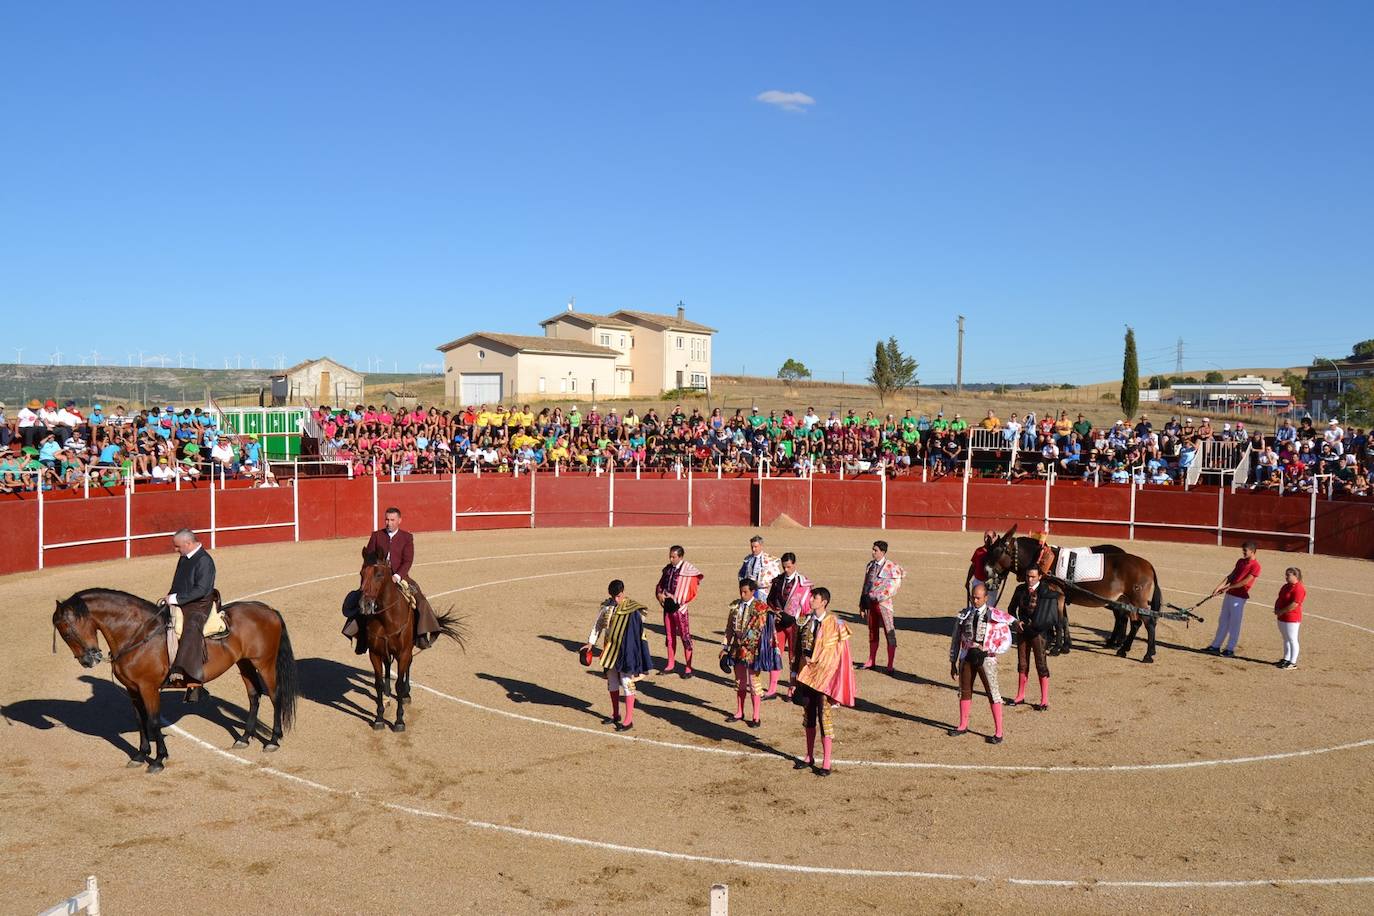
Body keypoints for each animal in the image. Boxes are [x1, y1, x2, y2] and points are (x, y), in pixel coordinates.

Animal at [57, 587, 300, 774]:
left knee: (275, 696)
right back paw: (244, 738)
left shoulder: (148, 688)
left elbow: (153, 721)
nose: (88, 660)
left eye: (67, 631)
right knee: (254, 695)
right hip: (245, 663)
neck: (137, 634)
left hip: (264, 663)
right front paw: (140, 755)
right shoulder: (133, 690)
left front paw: (158, 759)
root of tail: (268, 610)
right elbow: (140, 720)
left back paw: (273, 740)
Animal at [357, 549, 469, 736]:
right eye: (361, 573)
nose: (364, 605)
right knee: (388, 666)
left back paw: (406, 694)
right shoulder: (374, 653)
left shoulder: (403, 652)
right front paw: (379, 718)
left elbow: (399, 684)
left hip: (408, 649)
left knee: (408, 665)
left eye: (379, 575)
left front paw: (399, 721)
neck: (386, 618)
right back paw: (388, 693)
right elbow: (378, 684)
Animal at [983, 527, 1165, 661]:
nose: (986, 573)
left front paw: (1056, 648)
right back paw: (1123, 648)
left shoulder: (1057, 594)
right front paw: (1064, 646)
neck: (1044, 560)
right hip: (1127, 600)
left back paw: (1147, 654)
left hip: (1136, 600)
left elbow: (1058, 620)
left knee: (1148, 623)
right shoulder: (1061, 596)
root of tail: (1148, 564)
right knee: (1135, 622)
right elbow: (1063, 620)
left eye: (997, 552)